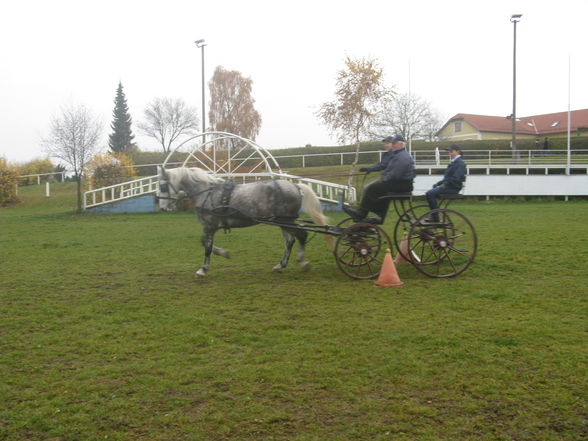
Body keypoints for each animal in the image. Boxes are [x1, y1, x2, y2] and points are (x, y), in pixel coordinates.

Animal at [157, 167, 330, 276]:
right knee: (290, 241)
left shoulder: (209, 226)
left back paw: (302, 262)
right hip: (283, 221)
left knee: (301, 235)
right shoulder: (210, 227)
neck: (207, 193)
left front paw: (203, 269)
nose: (162, 208)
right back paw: (281, 265)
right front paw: (224, 253)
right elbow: (205, 244)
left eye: (162, 186)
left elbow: (207, 247)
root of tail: (295, 185)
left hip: (285, 220)